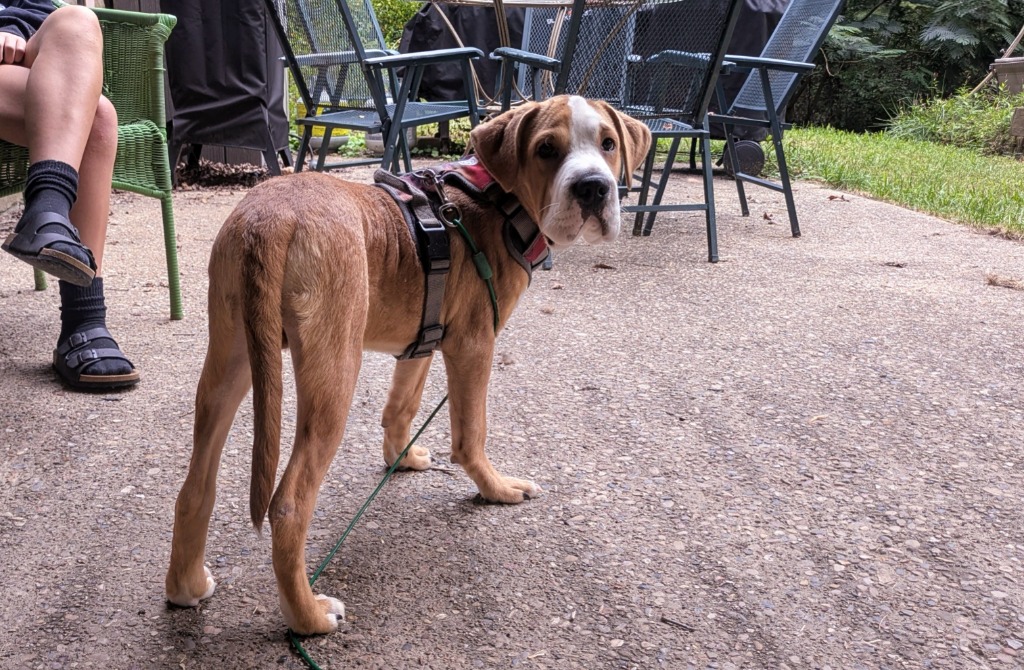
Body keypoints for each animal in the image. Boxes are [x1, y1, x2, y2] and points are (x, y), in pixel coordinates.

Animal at [165, 95, 651, 635]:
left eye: (608, 144)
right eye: (547, 149)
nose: (593, 188)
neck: (497, 200)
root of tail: (269, 217)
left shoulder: (424, 340)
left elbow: (402, 405)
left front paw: (401, 457)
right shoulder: (473, 346)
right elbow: (471, 434)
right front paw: (496, 489)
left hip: (232, 360)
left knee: (195, 486)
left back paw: (186, 586)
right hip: (333, 373)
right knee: (288, 504)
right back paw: (308, 616)